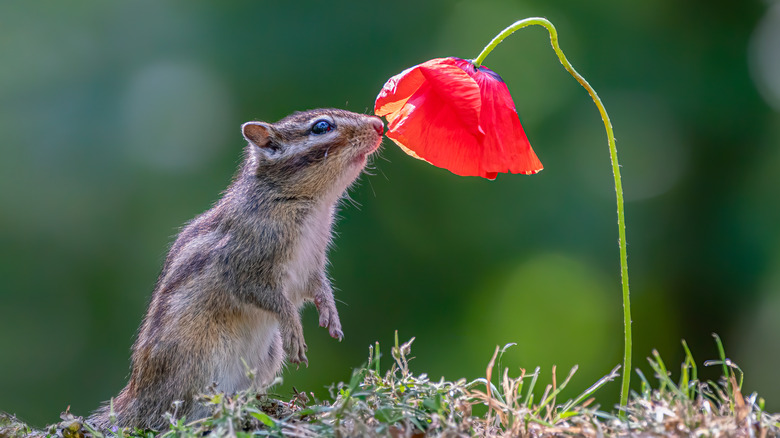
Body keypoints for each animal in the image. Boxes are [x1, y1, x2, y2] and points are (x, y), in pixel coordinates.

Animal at [91, 108, 384, 430]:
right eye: (321, 127)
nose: (379, 124)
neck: (311, 205)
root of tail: (136, 399)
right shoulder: (245, 267)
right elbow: (272, 299)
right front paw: (294, 328)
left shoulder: (311, 265)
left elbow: (318, 287)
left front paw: (331, 314)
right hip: (201, 357)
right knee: (180, 412)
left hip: (268, 355)